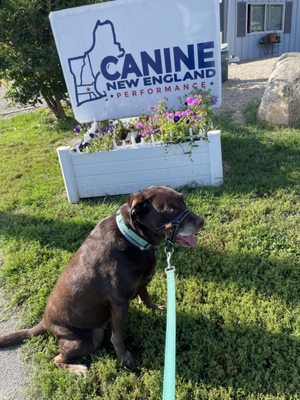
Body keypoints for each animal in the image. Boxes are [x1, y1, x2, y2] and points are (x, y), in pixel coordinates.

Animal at [0, 186, 204, 374]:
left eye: (182, 200)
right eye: (169, 209)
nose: (202, 221)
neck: (133, 237)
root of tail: (45, 322)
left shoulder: (142, 283)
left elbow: (145, 296)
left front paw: (154, 308)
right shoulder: (119, 304)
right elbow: (118, 336)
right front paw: (124, 356)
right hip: (90, 336)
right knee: (56, 359)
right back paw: (77, 369)